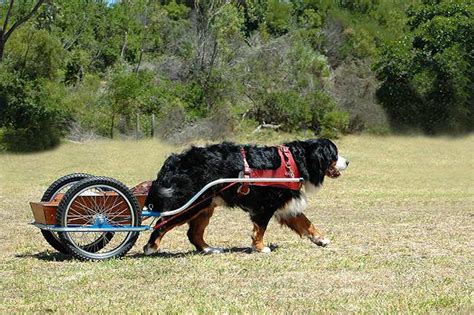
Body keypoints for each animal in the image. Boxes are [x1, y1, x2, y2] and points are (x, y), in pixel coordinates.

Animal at [143, 139, 346, 256]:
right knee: (162, 224)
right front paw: (260, 248)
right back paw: (150, 247)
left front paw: (321, 239)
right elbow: (260, 230)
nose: (348, 162)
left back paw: (210, 249)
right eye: (334, 154)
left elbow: (307, 223)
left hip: (205, 206)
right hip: (189, 204)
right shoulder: (265, 206)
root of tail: (174, 161)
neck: (293, 161)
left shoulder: (286, 207)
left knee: (193, 233)